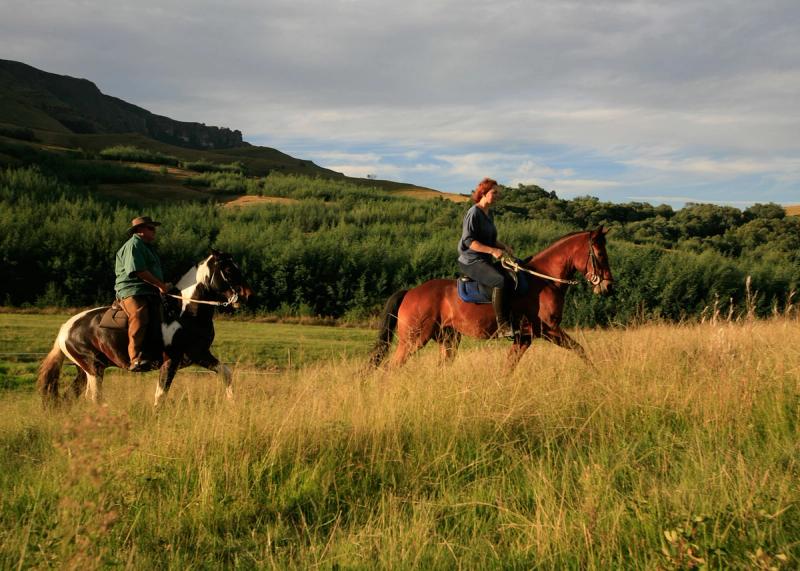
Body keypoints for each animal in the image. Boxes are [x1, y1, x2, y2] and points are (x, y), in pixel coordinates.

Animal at [37, 249, 253, 408]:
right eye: (229, 270)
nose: (247, 295)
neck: (184, 312)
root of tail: (65, 329)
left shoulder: (200, 354)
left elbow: (226, 373)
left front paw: (232, 403)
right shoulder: (171, 361)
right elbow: (160, 396)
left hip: (84, 371)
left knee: (70, 397)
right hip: (93, 368)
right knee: (94, 398)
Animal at [368, 227, 613, 370]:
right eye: (601, 254)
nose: (609, 286)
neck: (544, 279)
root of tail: (410, 292)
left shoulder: (524, 337)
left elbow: (508, 367)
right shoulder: (548, 329)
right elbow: (580, 350)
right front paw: (597, 374)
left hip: (448, 339)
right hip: (414, 339)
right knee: (391, 367)